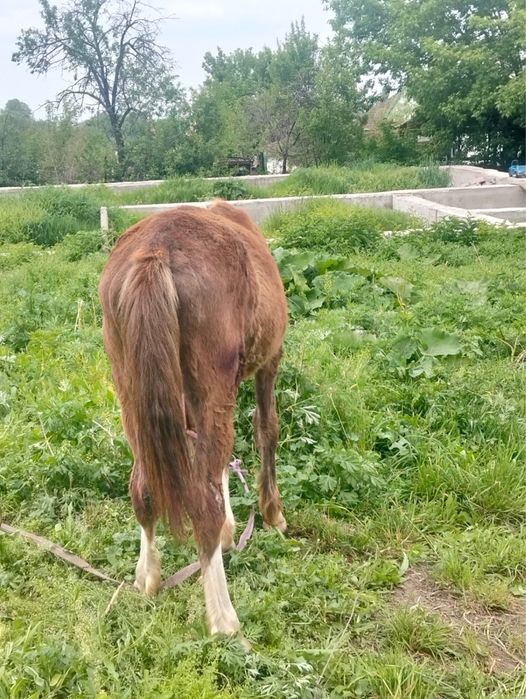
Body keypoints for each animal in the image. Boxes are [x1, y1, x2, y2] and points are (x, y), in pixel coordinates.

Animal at [99, 200, 288, 635]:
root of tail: (155, 252)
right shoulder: (270, 360)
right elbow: (266, 430)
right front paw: (272, 513)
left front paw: (230, 529)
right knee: (202, 504)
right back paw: (224, 620)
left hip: (132, 394)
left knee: (143, 487)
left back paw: (147, 578)